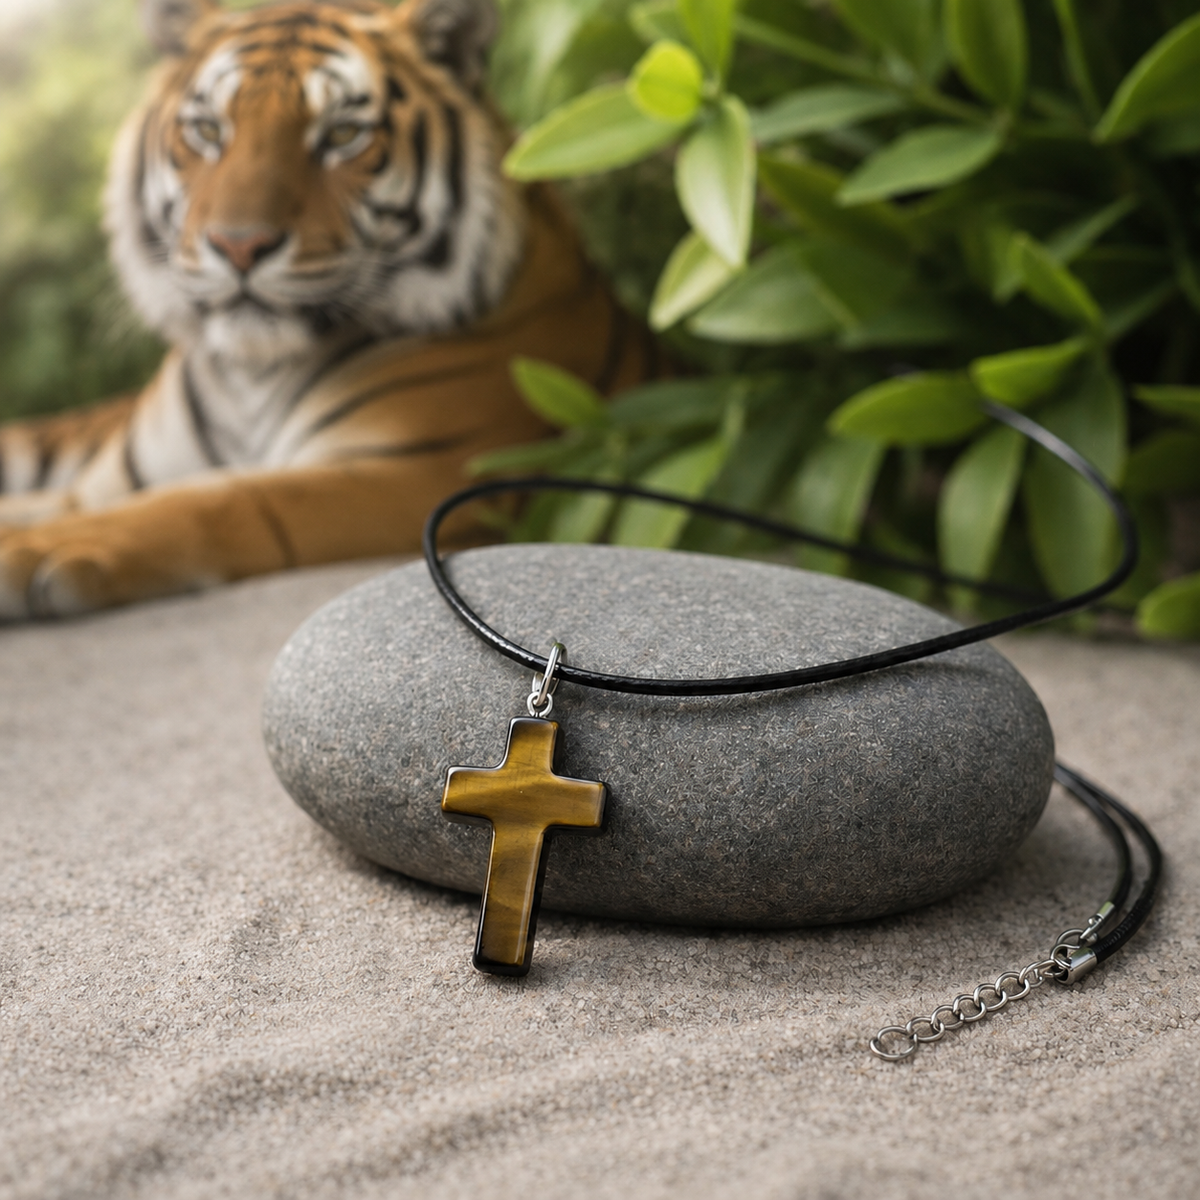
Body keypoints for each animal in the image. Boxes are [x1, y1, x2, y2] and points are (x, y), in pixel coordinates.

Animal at [0, 0, 654, 619]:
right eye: (208, 130)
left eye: (342, 135)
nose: (239, 245)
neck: (248, 375)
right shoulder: (101, 484)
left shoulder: (425, 471)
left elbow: (222, 496)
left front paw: (33, 551)